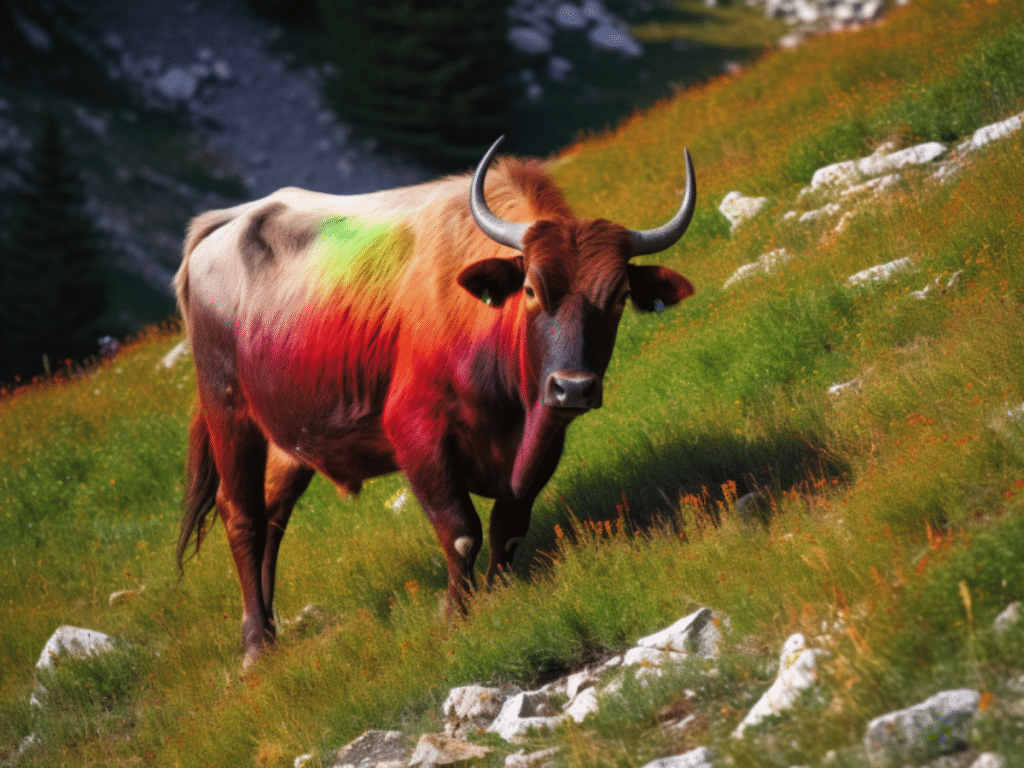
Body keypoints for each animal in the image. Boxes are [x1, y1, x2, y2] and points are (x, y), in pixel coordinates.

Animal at [175, 136, 696, 667]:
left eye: (619, 297)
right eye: (530, 290)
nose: (572, 387)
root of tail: (230, 221)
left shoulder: (547, 440)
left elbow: (509, 525)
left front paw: (500, 599)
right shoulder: (416, 432)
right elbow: (462, 530)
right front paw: (455, 618)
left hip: (288, 436)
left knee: (273, 515)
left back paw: (270, 629)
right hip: (228, 409)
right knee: (242, 515)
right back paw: (257, 645)